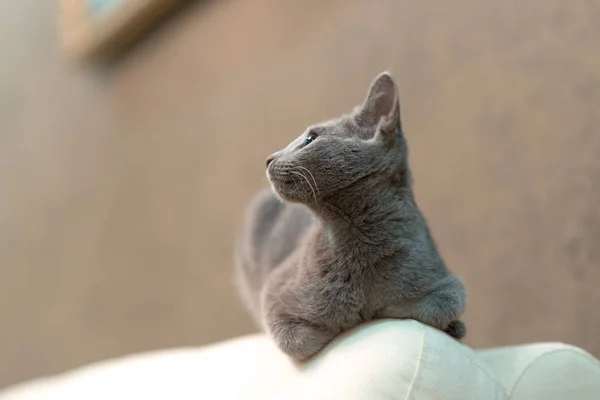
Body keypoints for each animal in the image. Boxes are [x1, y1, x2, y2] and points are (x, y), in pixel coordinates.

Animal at [237, 72, 466, 362]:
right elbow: (301, 340)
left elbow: (436, 308)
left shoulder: (448, 284)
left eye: (310, 138)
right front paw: (348, 318)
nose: (269, 158)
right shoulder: (273, 294)